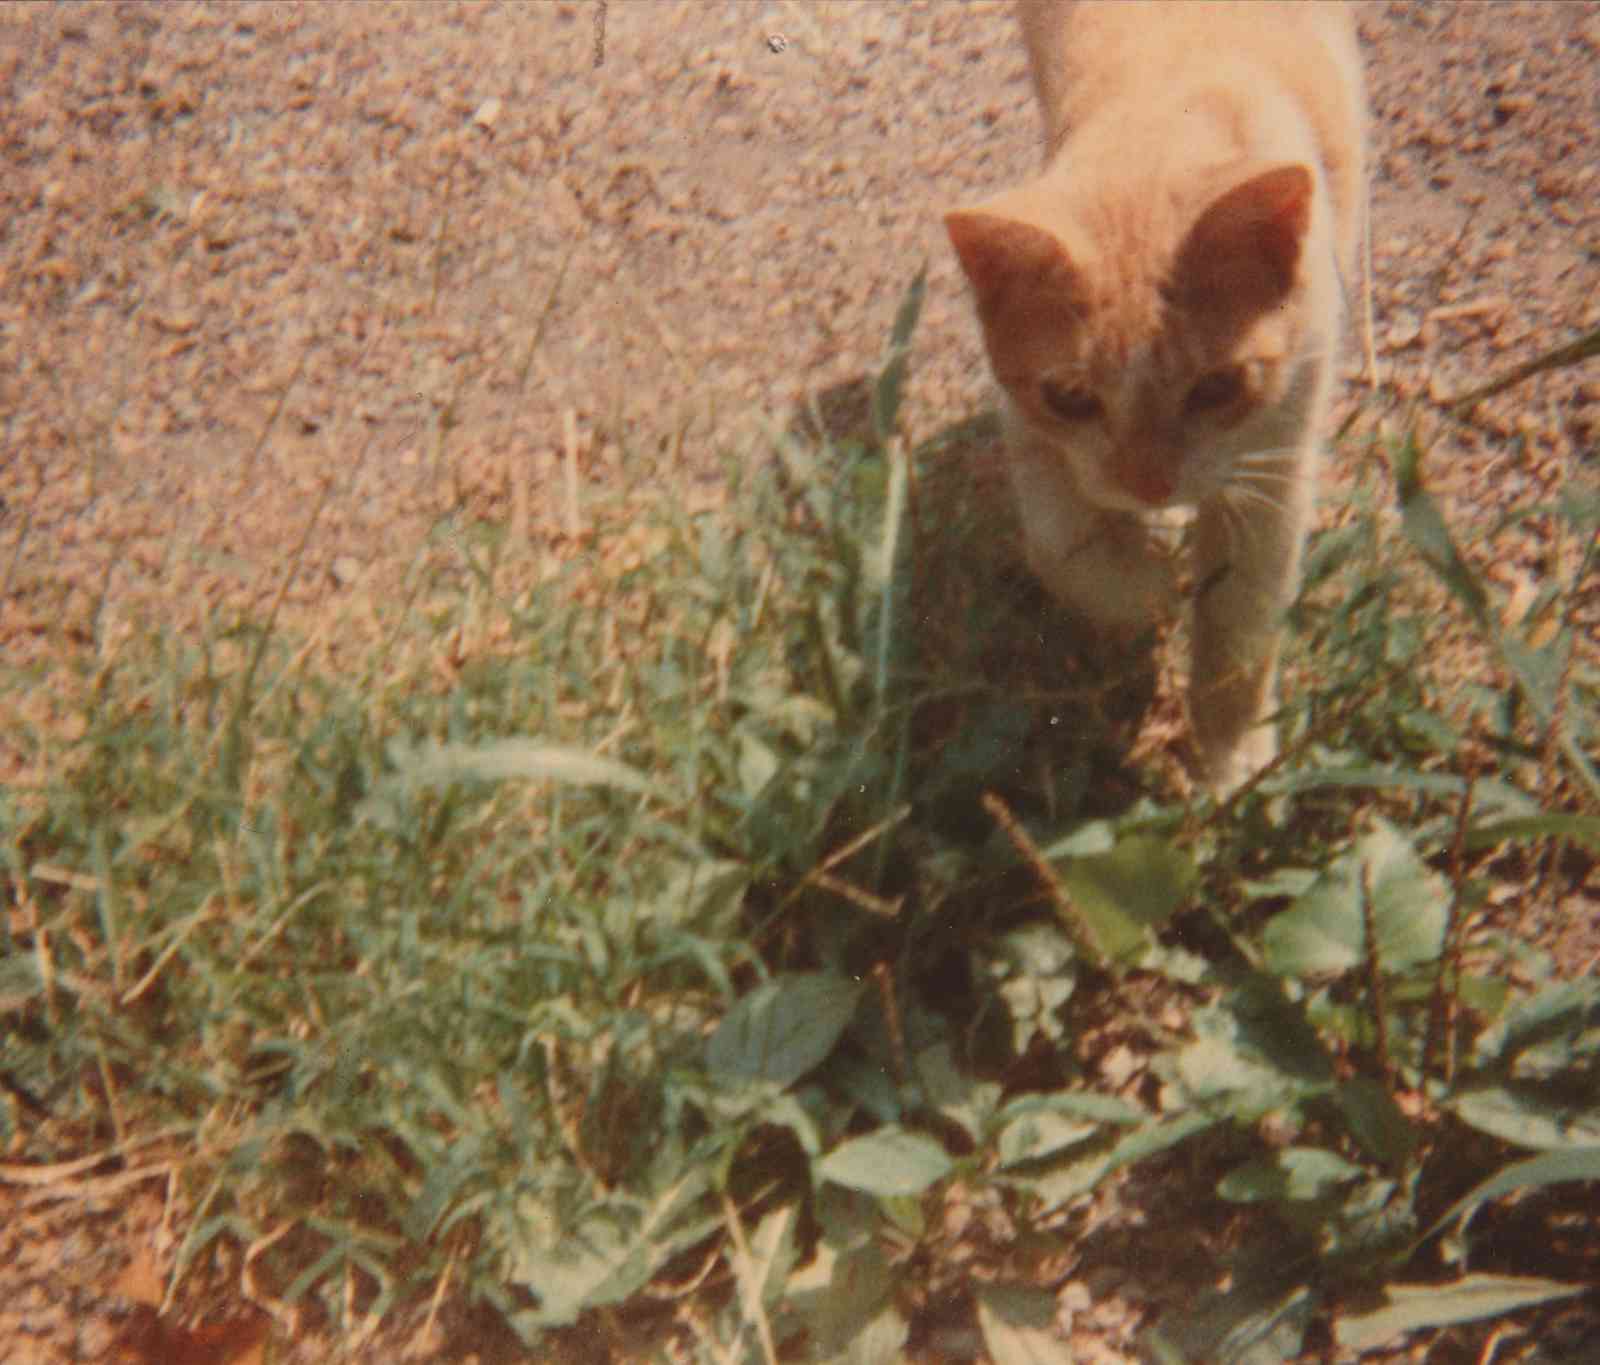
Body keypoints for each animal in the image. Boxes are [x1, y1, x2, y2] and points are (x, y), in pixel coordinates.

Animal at [940, 0, 1369, 793]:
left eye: (1217, 386)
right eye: (1071, 396)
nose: (1150, 484)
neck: (1167, 108)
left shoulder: (1276, 465)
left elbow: (1238, 630)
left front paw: (1232, 762)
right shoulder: (1027, 426)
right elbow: (1062, 545)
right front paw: (1147, 584)